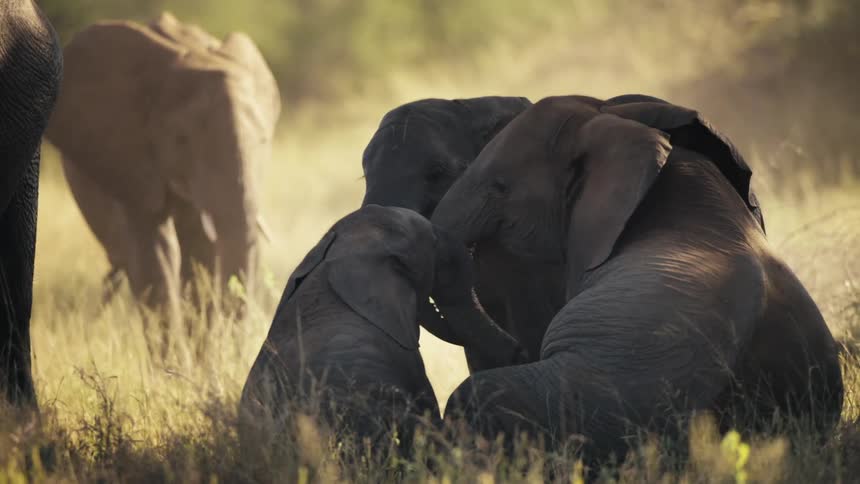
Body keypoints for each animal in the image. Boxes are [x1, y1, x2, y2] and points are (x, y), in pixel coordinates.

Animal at [44, 13, 279, 344]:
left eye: (263, 141)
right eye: (182, 140)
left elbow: (201, 251)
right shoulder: (131, 159)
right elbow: (158, 253)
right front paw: (177, 359)